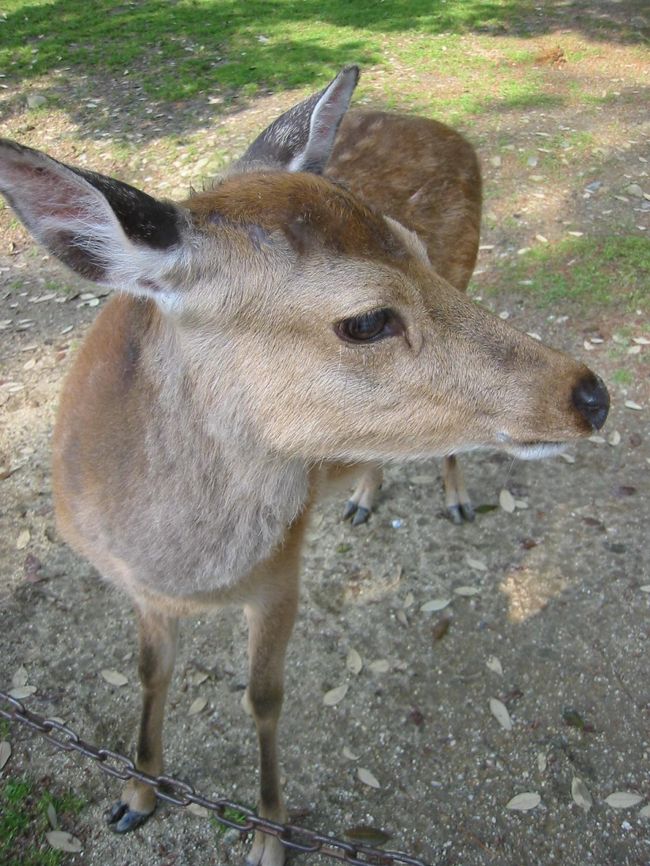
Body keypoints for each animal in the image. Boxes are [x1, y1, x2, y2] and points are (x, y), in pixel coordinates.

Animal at [0, 66, 609, 866]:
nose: (592, 394)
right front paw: (135, 795)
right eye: (367, 319)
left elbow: (264, 698)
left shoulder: (281, 570)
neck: (181, 566)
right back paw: (364, 496)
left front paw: (268, 834)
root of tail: (440, 126)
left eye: (412, 245)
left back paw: (454, 499)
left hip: (471, 265)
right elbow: (149, 673)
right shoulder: (137, 590)